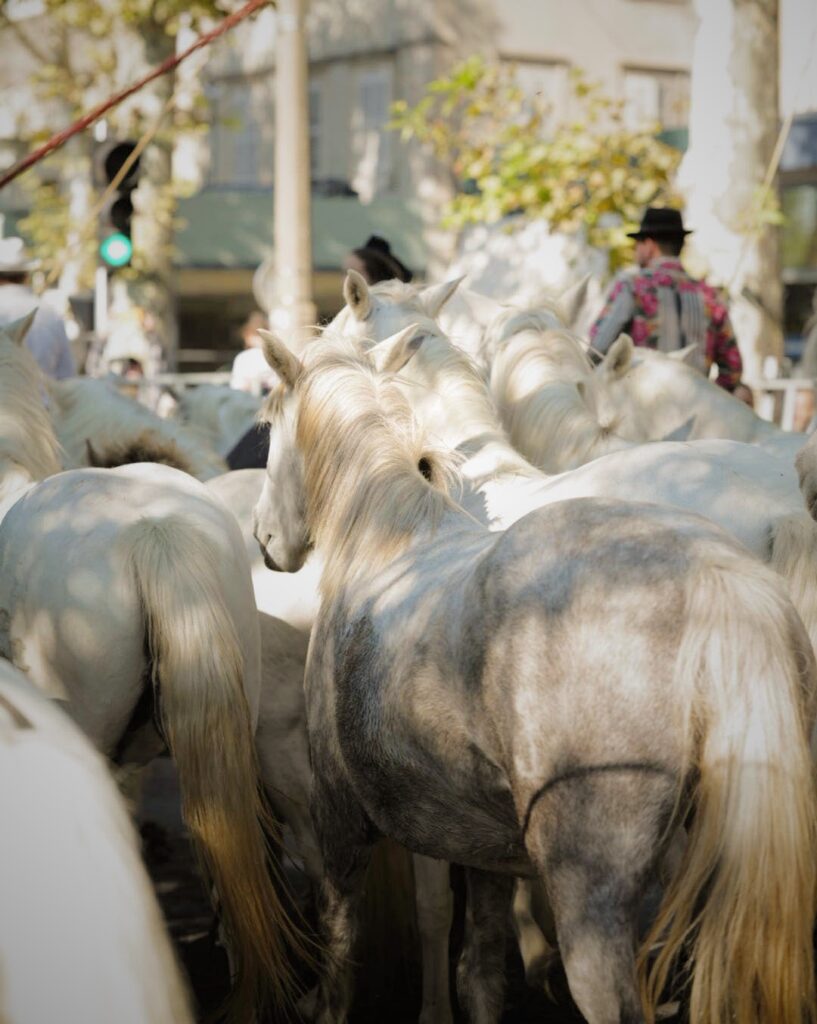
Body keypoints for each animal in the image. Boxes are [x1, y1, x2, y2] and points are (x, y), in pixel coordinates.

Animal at [255, 325, 817, 1024]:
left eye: (269, 425)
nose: (265, 540)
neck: (386, 544)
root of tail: (715, 575)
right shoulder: (481, 848)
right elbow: (479, 974)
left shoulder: (340, 818)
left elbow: (343, 953)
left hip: (594, 895)